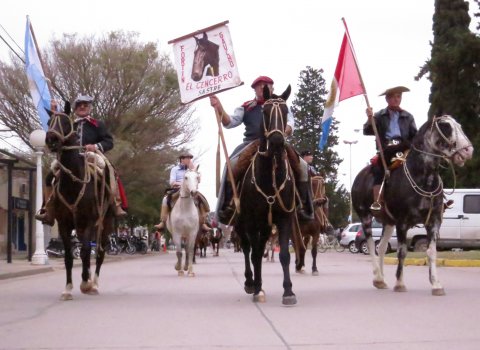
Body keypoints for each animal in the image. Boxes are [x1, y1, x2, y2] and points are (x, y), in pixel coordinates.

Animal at [234, 84, 298, 304]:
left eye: (286, 111)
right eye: (265, 112)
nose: (277, 141)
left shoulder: (284, 218)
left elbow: (285, 255)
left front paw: (288, 291)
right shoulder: (252, 221)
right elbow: (253, 255)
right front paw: (256, 289)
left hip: (266, 227)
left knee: (260, 249)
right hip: (243, 224)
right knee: (247, 249)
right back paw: (251, 283)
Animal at [350, 115, 474, 296]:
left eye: (459, 125)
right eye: (445, 127)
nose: (468, 151)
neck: (423, 178)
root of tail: (360, 177)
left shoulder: (434, 222)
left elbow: (431, 252)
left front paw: (436, 284)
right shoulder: (402, 223)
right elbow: (402, 252)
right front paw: (400, 283)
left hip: (388, 222)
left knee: (382, 247)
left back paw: (382, 280)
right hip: (365, 217)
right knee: (372, 245)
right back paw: (378, 277)